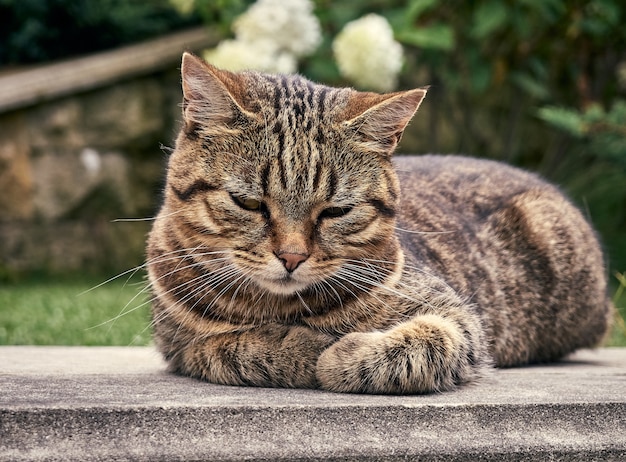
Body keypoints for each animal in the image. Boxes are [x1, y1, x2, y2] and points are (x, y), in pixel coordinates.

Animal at [145, 53, 608, 394]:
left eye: (336, 211)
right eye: (249, 203)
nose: (291, 257)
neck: (278, 306)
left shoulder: (457, 316)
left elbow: (426, 343)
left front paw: (339, 354)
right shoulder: (178, 347)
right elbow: (226, 348)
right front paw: (304, 347)